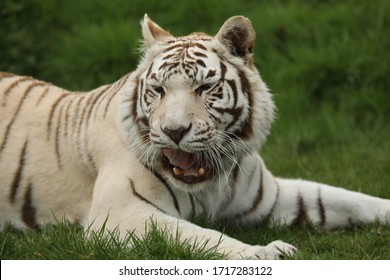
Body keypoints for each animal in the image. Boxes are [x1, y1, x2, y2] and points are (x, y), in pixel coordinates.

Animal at [0, 15, 390, 260]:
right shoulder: (121, 213)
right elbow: (196, 235)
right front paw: (264, 252)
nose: (174, 131)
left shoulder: (273, 197)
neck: (211, 181)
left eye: (204, 88)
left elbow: (346, 199)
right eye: (158, 90)